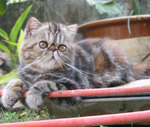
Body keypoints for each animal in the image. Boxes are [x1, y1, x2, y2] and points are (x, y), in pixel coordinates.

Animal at [1, 17, 150, 110]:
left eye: (62, 47)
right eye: (43, 44)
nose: (53, 49)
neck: (39, 72)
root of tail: (131, 64)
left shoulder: (74, 88)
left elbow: (46, 83)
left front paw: (33, 95)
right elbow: (16, 81)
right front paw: (9, 93)